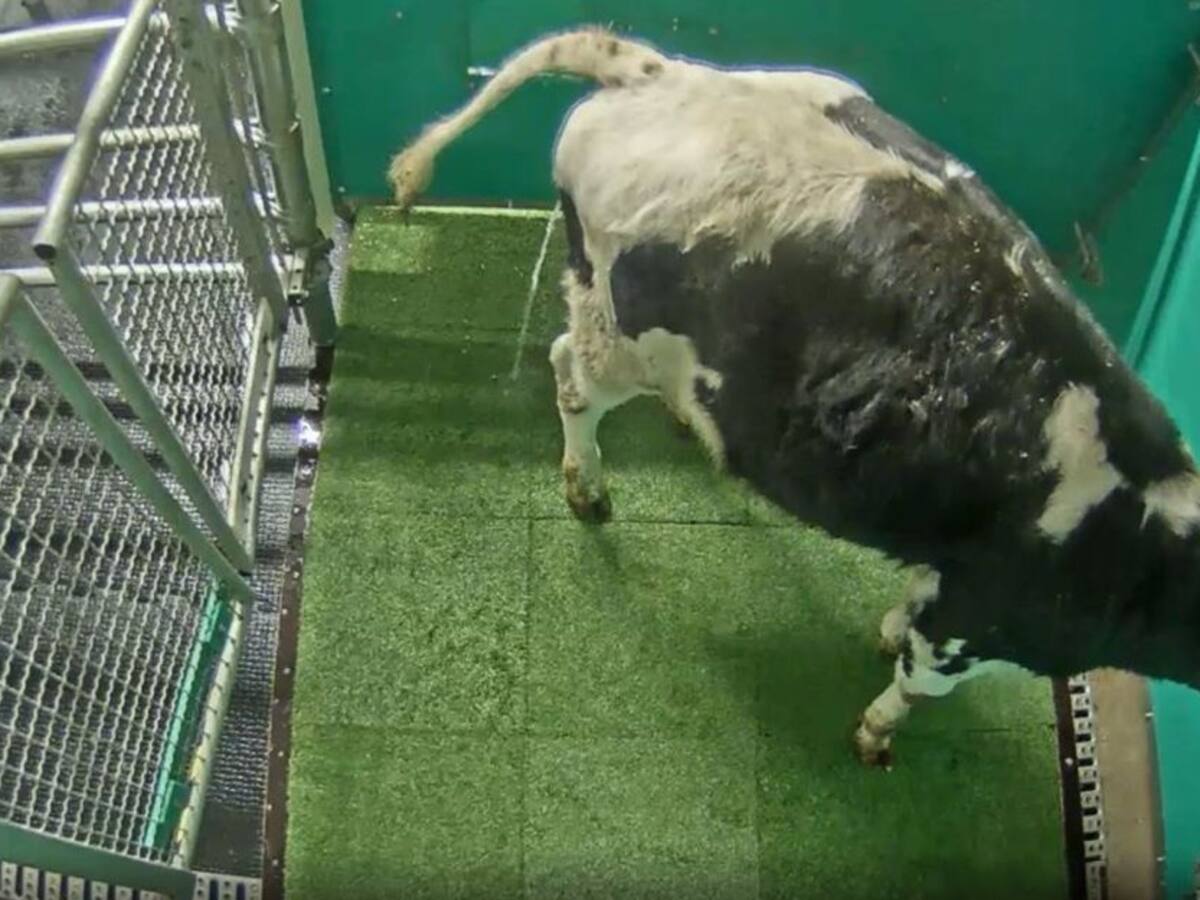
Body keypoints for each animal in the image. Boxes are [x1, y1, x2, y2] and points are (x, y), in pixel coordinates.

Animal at [386, 29, 1200, 766]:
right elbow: (916, 683)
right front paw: (874, 732)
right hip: (615, 332)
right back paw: (587, 490)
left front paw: (885, 632)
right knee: (570, 380)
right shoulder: (980, 622)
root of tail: (663, 74)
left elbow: (908, 610)